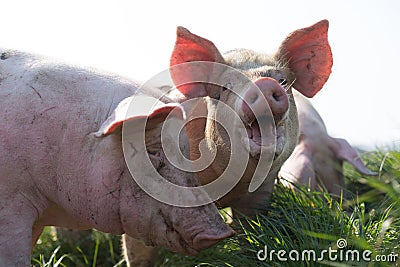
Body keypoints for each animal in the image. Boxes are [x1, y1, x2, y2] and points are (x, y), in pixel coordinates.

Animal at [122, 19, 334, 266]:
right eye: (225, 88)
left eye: (282, 81)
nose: (263, 84)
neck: (229, 184)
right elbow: (140, 249)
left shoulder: (259, 194)